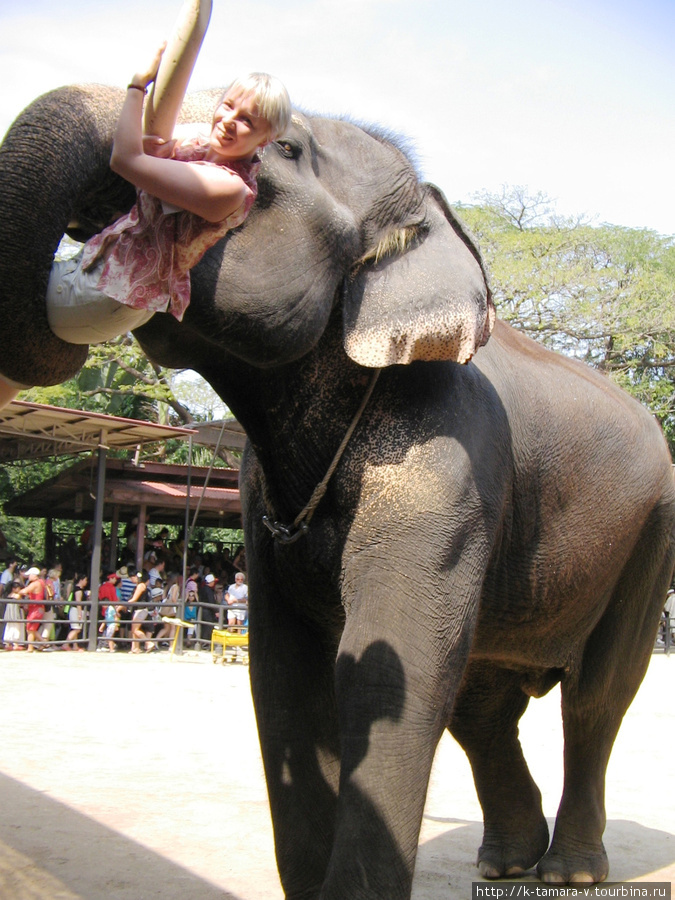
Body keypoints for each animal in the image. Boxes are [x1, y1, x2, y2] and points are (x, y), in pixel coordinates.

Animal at [1, 84, 675, 900]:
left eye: (286, 150)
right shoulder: (263, 502)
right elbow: (285, 679)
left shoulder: (443, 458)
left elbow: (387, 672)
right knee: (482, 706)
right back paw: (504, 862)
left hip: (653, 532)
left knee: (597, 696)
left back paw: (569, 870)